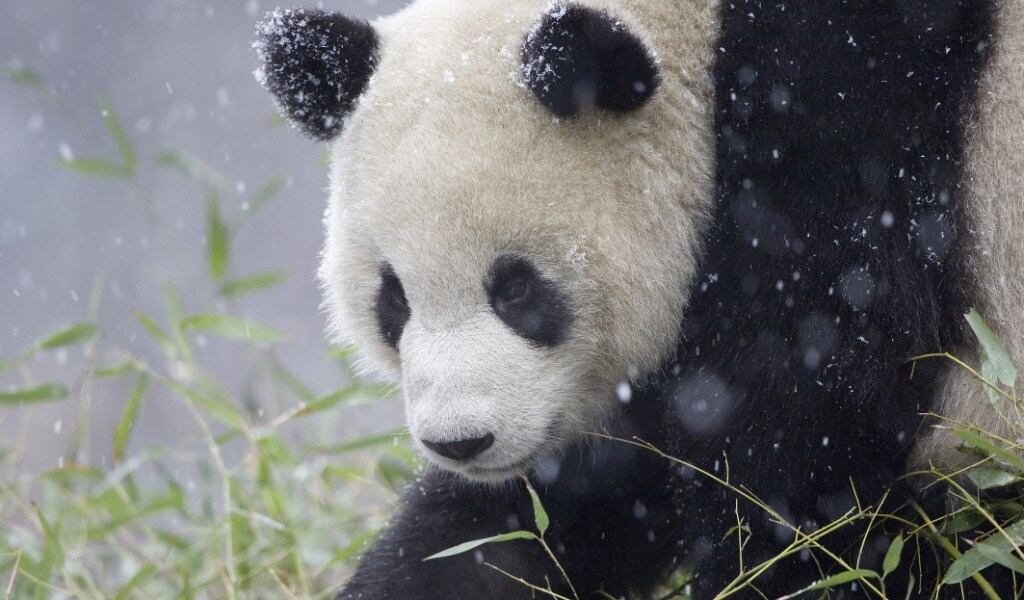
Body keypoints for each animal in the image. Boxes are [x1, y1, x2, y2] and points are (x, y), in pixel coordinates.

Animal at [255, 1, 1023, 598]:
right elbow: (550, 512)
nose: (461, 441)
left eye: (516, 290)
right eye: (394, 301)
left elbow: (805, 451)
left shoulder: (847, 146)